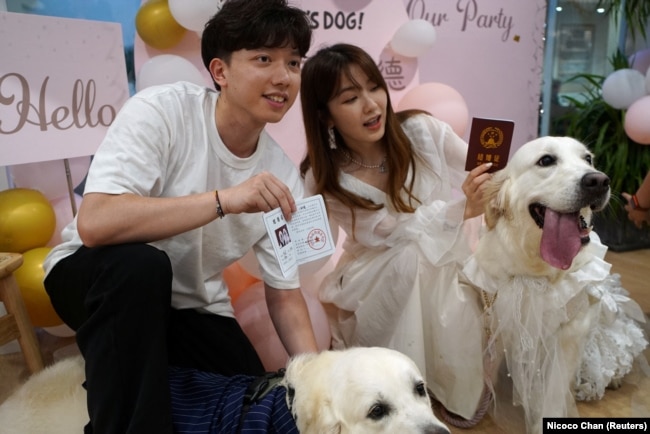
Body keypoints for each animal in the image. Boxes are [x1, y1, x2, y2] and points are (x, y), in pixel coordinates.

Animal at [458, 136, 644, 434]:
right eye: (546, 160)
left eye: (588, 159)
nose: (598, 181)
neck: (536, 274)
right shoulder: (497, 319)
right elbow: (487, 370)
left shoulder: (570, 335)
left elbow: (554, 394)